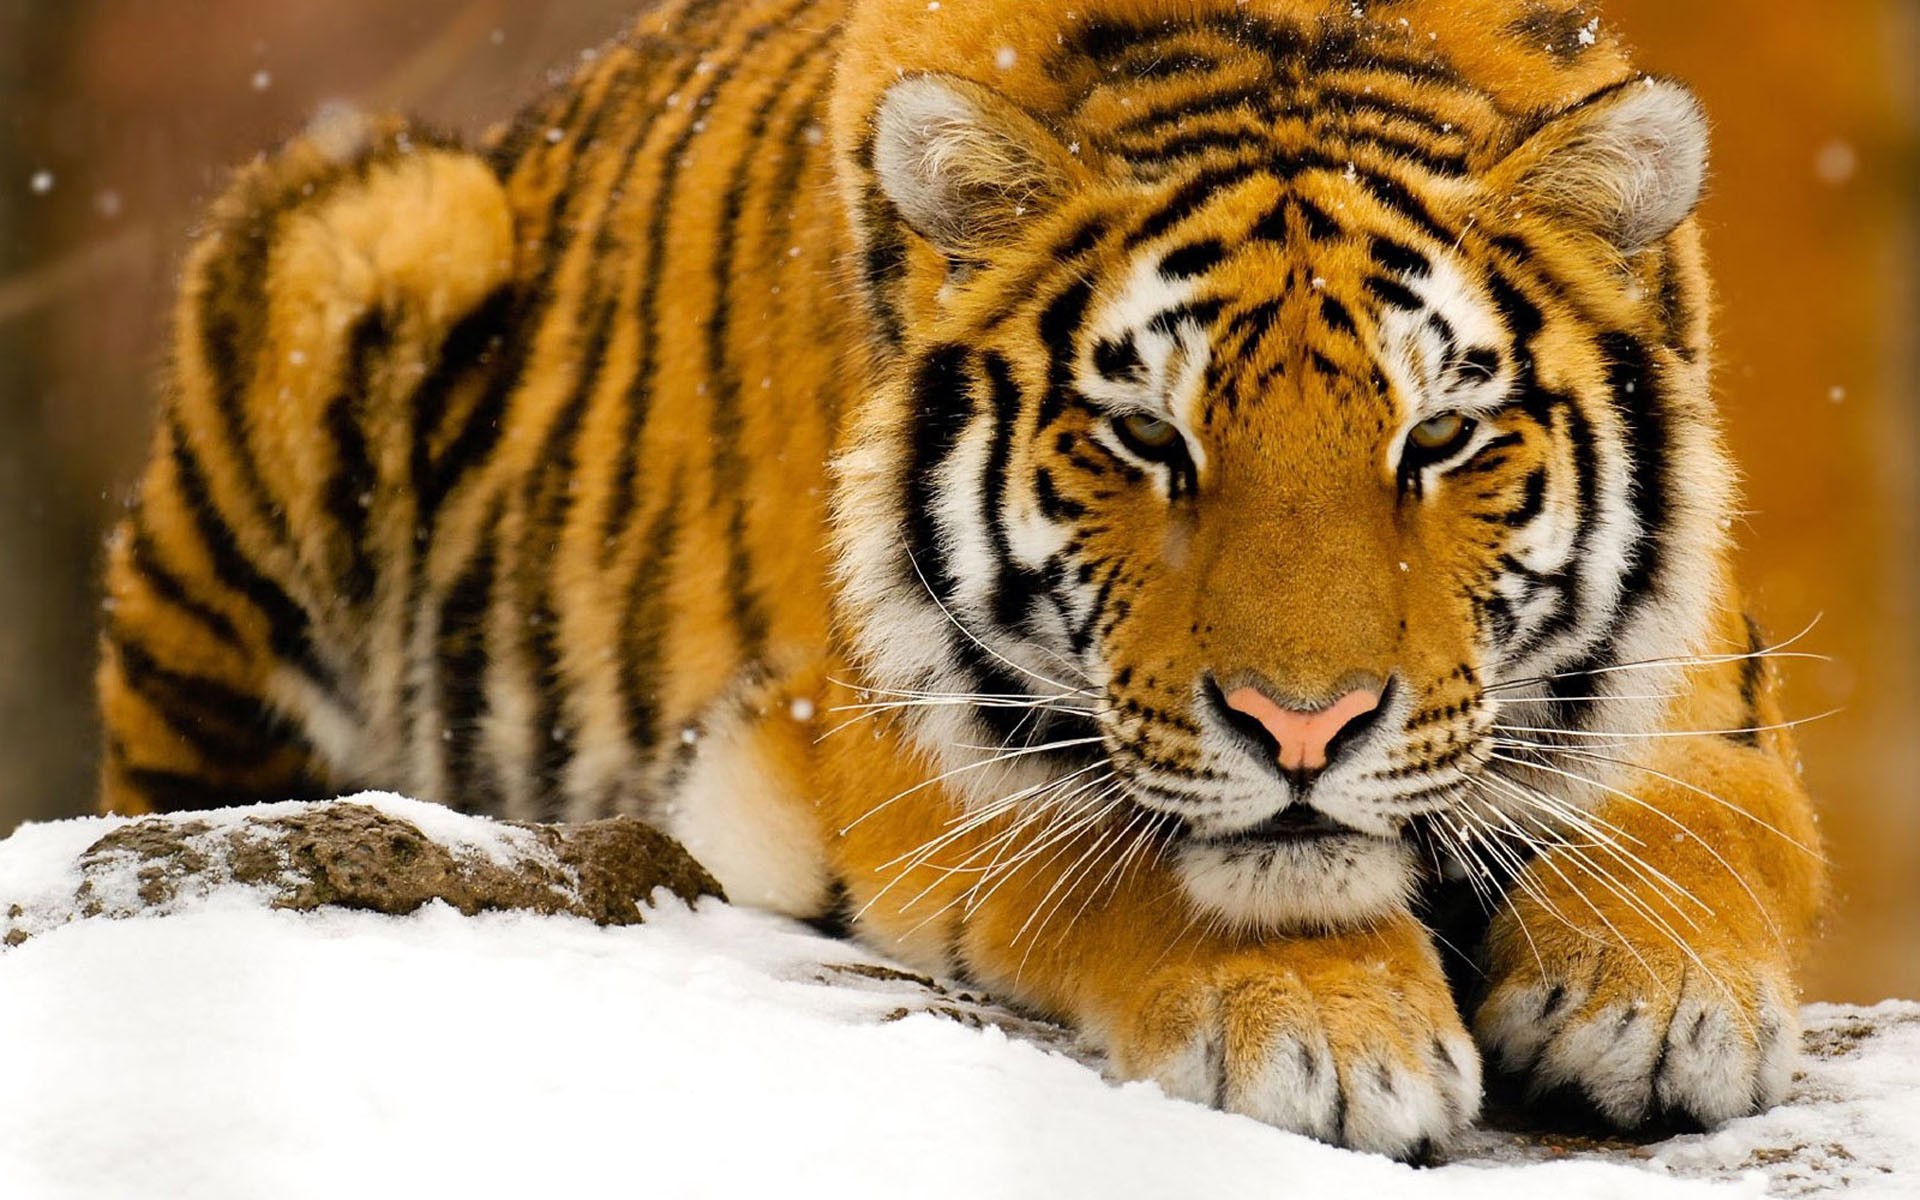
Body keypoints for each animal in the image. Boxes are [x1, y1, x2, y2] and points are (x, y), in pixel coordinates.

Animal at [95, 0, 1827, 1158]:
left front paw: (1660, 995)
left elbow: (1706, 818)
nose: (1304, 728)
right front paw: (1329, 1036)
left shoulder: (1700, 675)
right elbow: (1128, 855)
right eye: (1147, 438)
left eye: (1441, 437)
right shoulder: (889, 737)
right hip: (365, 232)